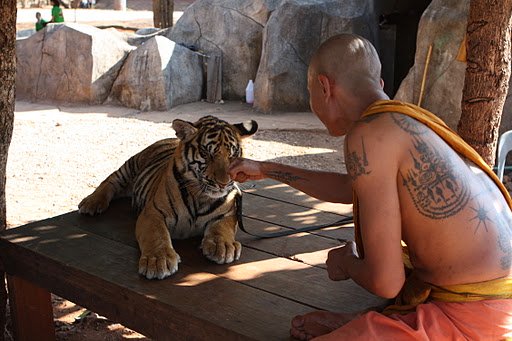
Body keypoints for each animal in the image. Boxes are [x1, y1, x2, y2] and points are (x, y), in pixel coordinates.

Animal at [79, 115, 260, 278]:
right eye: (206, 153)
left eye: (233, 154)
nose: (224, 183)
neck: (201, 196)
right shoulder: (153, 213)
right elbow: (157, 235)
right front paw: (158, 261)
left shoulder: (229, 213)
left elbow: (222, 228)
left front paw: (223, 246)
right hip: (130, 165)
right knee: (111, 180)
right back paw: (91, 203)